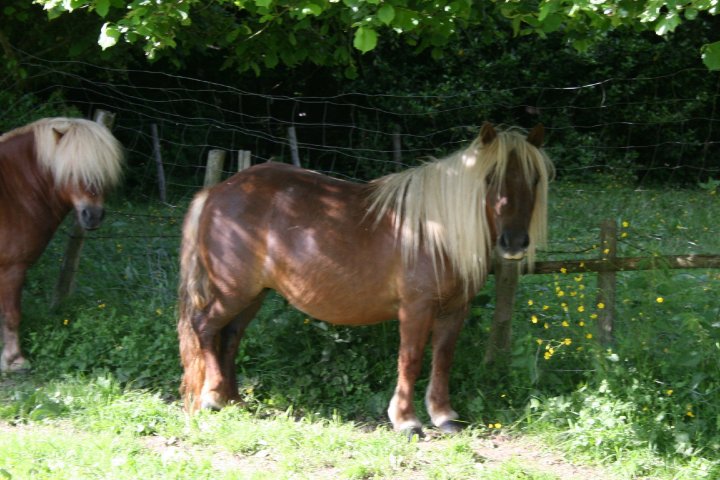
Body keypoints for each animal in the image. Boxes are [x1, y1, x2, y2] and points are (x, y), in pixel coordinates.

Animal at [0, 118, 123, 374]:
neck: (10, 191)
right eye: (72, 171)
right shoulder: (11, 268)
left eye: (103, 173)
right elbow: (11, 314)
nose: (92, 215)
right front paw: (14, 360)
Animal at [179, 123, 552, 436]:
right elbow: (411, 360)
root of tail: (216, 191)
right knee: (205, 328)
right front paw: (406, 420)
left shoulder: (454, 310)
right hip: (232, 291)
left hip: (252, 295)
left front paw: (444, 416)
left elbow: (443, 359)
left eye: (534, 179)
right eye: (490, 178)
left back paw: (233, 400)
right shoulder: (416, 309)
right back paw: (213, 399)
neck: (435, 232)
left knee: (229, 337)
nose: (515, 243)